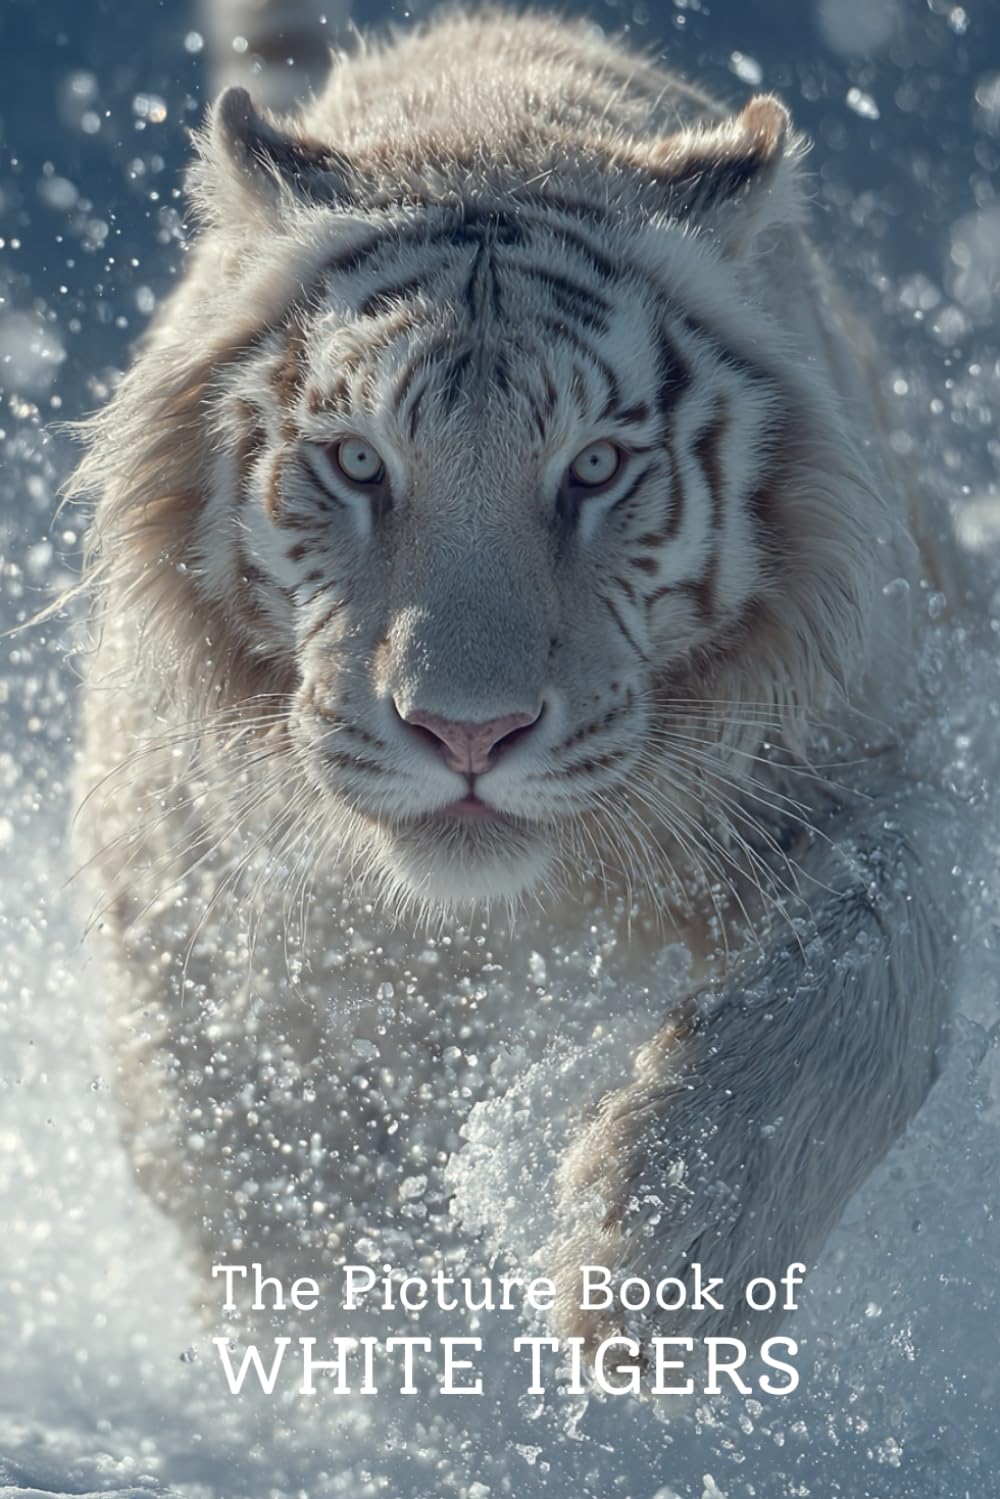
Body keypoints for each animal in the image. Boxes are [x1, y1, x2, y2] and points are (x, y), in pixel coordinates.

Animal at [69, 1, 972, 1368]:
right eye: (357, 463)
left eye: (594, 467)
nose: (465, 731)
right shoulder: (197, 943)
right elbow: (288, 1213)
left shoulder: (877, 745)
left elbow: (881, 937)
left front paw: (659, 1264)